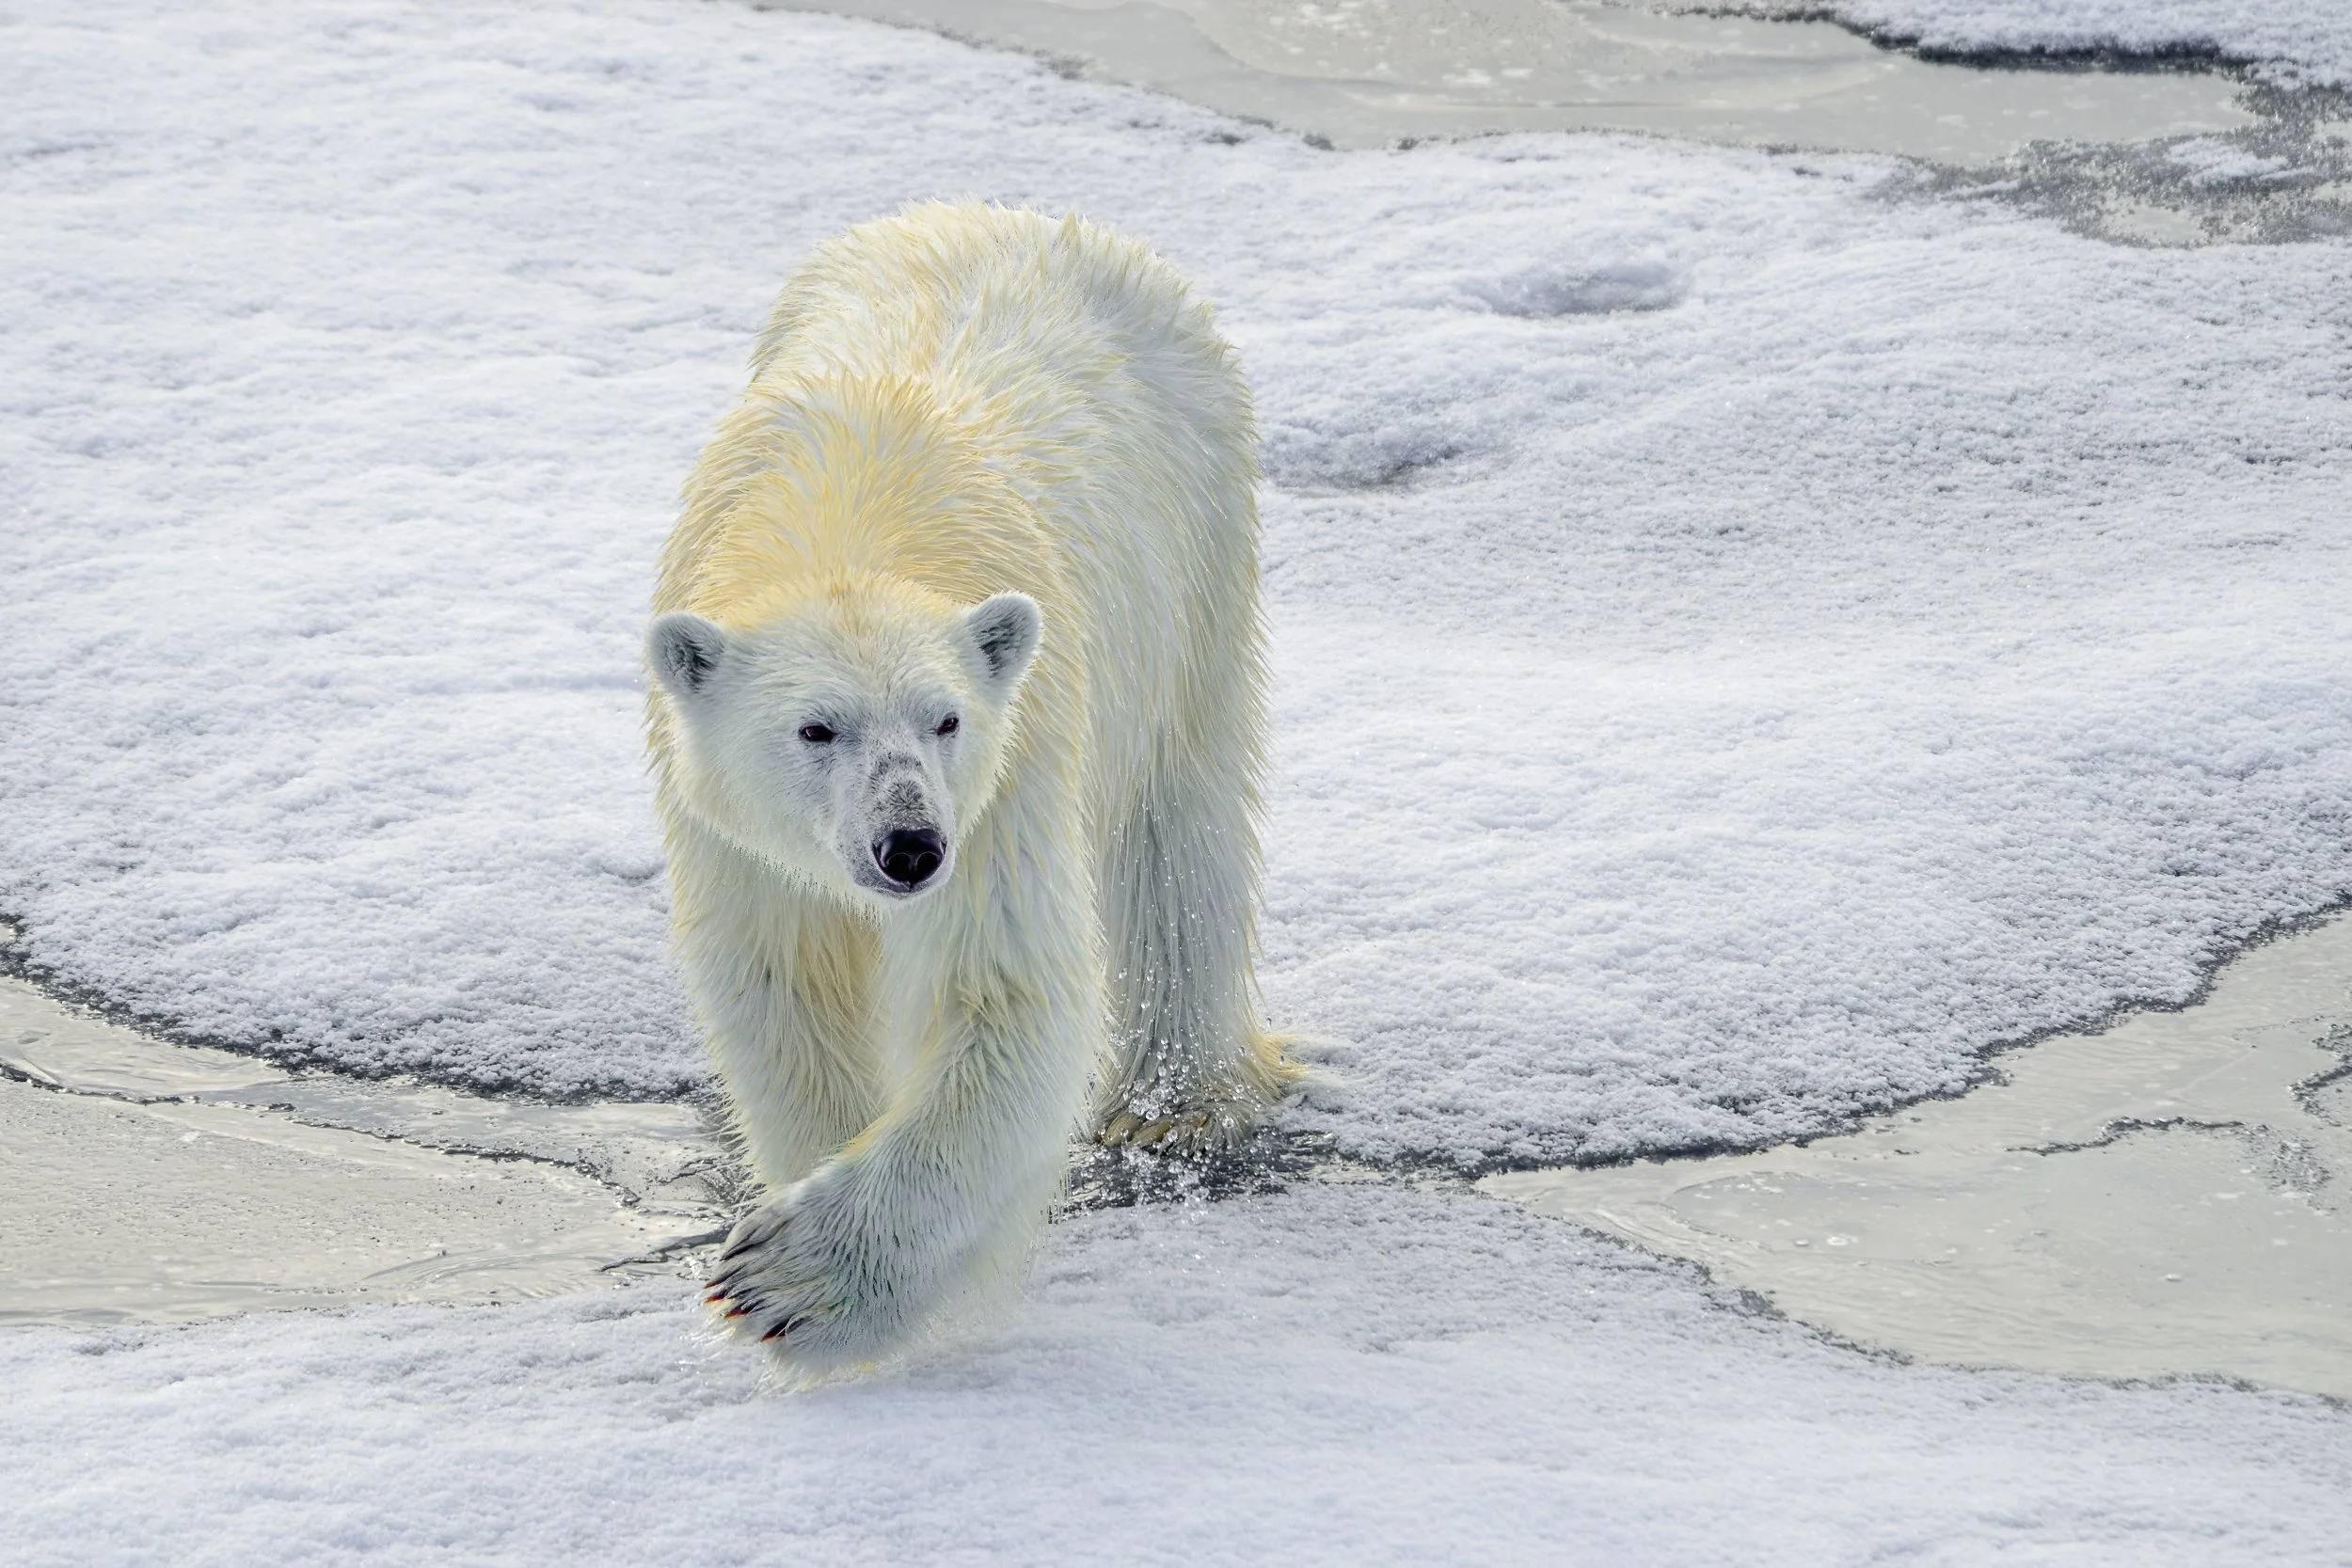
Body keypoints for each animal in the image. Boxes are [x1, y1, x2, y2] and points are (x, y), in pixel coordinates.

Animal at [644, 201, 1299, 1373]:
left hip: (1197, 546)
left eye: (944, 718)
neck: (849, 514)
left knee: (1179, 832)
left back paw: (1174, 1099)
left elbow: (1003, 993)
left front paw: (793, 1282)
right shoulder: (729, 827)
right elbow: (786, 985)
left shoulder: (1007, 774)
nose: (908, 848)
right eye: (815, 727)